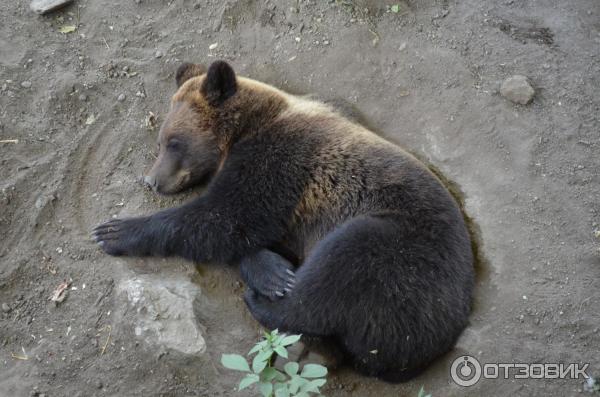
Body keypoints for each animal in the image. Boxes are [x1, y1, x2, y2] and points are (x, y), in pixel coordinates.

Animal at [94, 60, 476, 382]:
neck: (245, 129)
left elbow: (226, 217)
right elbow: (241, 233)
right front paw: (272, 271)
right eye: (161, 142)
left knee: (339, 271)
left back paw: (265, 303)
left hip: (408, 257)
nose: (152, 180)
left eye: (174, 142)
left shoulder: (280, 159)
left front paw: (114, 231)